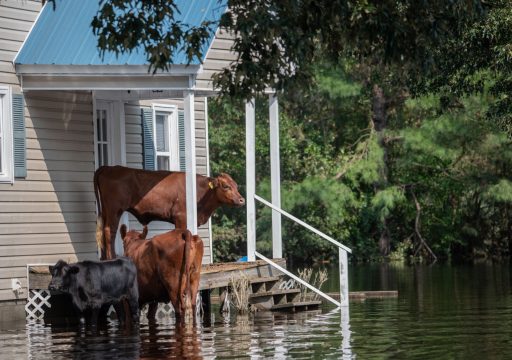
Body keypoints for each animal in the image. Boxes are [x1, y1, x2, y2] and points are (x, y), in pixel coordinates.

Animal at [95, 166, 245, 258]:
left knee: (103, 231)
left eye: (236, 185)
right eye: (226, 186)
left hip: (106, 210)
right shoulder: (181, 217)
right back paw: (111, 257)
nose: (242, 200)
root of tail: (109, 167)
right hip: (114, 209)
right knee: (109, 231)